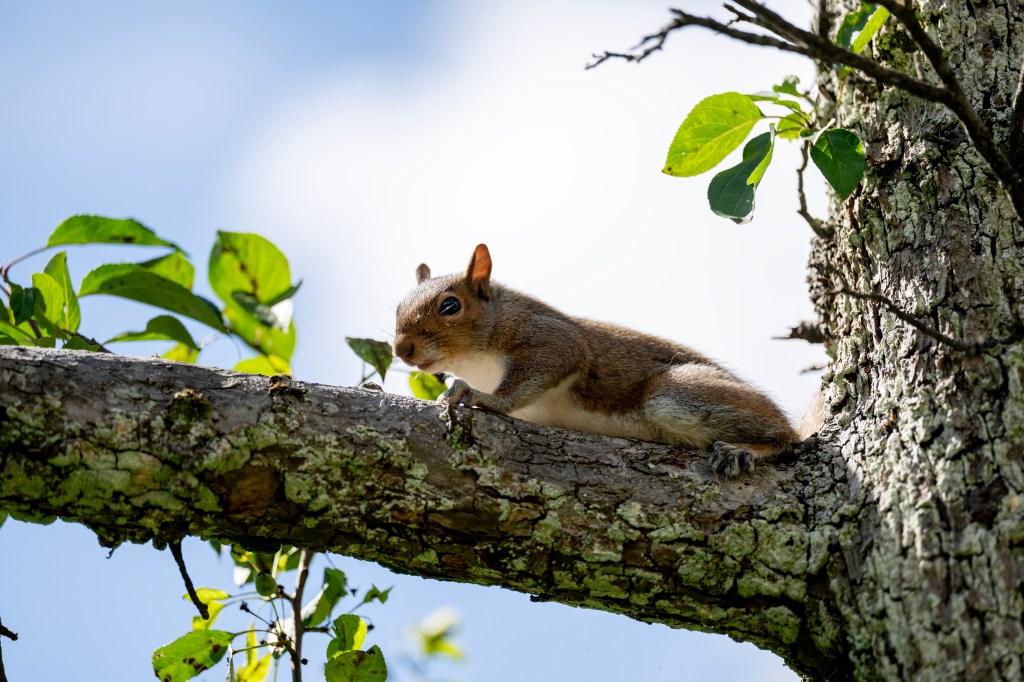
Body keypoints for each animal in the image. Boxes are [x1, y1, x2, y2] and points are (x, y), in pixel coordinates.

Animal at [393, 244, 802, 477]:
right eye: (398, 306)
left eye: (451, 306)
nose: (401, 349)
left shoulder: (552, 340)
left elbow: (535, 374)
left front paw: (481, 397)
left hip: (674, 394)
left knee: (787, 438)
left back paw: (746, 449)